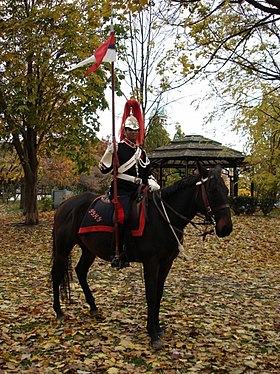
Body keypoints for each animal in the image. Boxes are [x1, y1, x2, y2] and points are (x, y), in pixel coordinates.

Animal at [50, 162, 232, 350]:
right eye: (212, 190)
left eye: (226, 190)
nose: (226, 228)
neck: (163, 217)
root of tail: (64, 205)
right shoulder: (151, 262)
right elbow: (151, 295)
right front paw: (153, 334)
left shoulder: (166, 263)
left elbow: (158, 294)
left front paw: (156, 328)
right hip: (63, 248)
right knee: (56, 275)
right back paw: (58, 311)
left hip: (89, 250)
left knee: (80, 271)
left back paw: (92, 306)